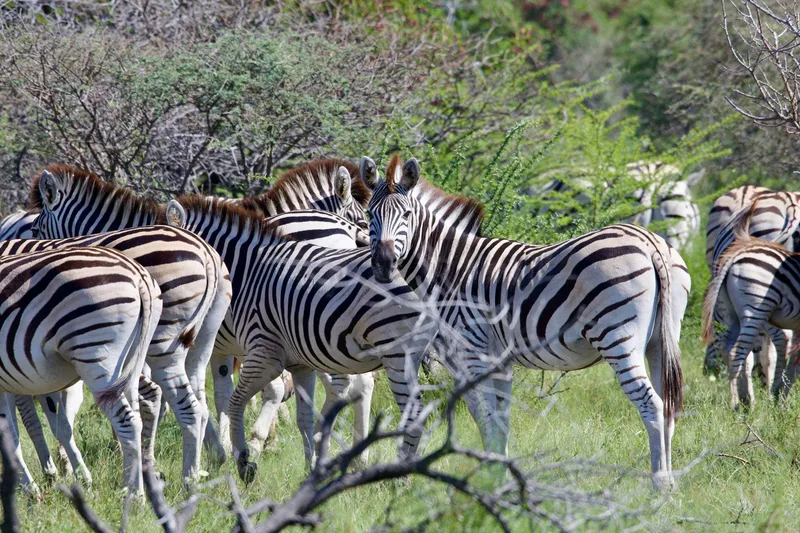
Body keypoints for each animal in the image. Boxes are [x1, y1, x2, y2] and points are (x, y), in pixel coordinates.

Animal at [0, 247, 162, 495]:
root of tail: (137, 275)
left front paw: (30, 488)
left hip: (96, 356)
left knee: (128, 422)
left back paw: (134, 494)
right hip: (129, 365)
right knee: (138, 413)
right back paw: (131, 482)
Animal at [30, 165, 232, 483]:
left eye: (37, 229)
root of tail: (207, 255)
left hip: (165, 336)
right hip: (204, 333)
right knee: (200, 397)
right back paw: (212, 458)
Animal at [166, 196, 435, 481]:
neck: (249, 272)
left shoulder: (262, 352)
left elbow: (233, 401)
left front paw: (243, 459)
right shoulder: (299, 362)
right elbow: (302, 417)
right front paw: (311, 466)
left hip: (394, 353)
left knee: (410, 411)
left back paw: (400, 475)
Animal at [362, 155, 689, 489]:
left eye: (406, 214)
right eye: (369, 214)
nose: (384, 264)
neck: (452, 269)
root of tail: (649, 242)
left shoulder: (472, 351)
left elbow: (485, 417)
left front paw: (488, 480)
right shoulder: (499, 360)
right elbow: (501, 421)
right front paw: (501, 476)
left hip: (617, 337)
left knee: (651, 404)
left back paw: (659, 484)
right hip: (662, 339)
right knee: (668, 405)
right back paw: (671, 482)